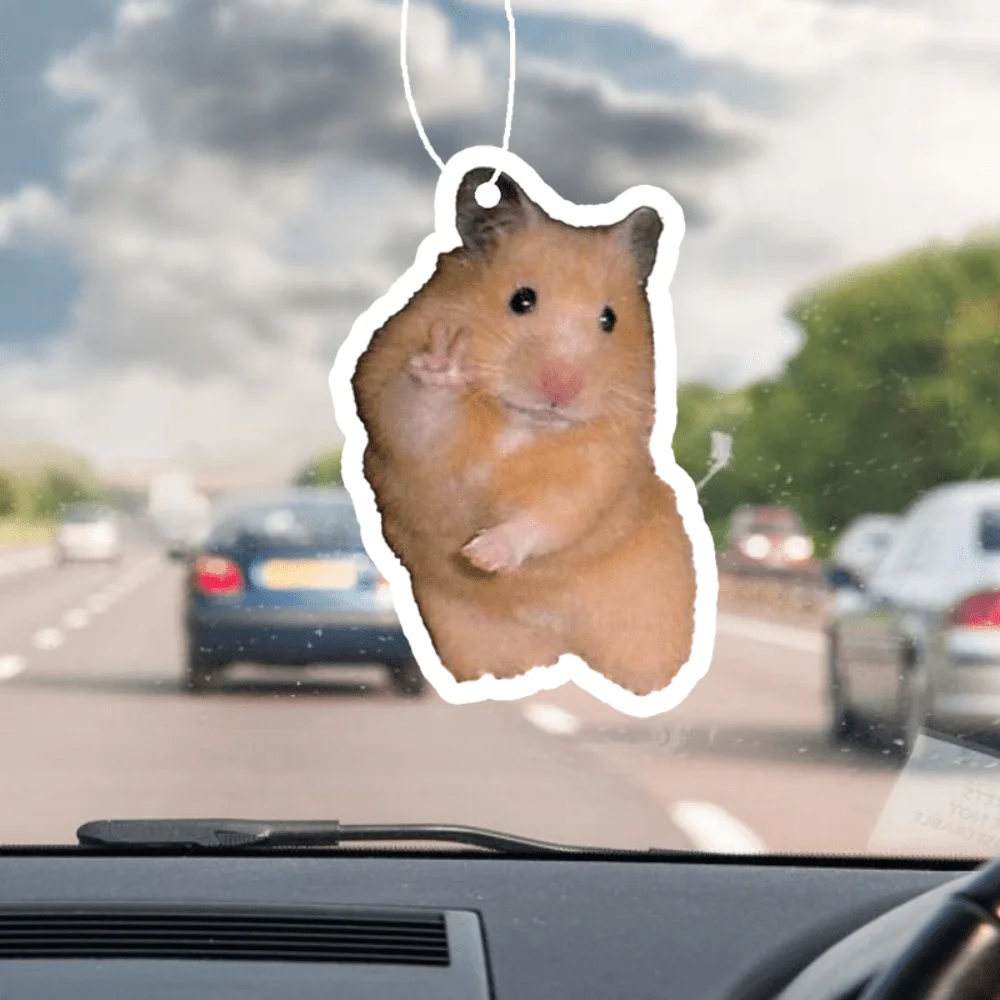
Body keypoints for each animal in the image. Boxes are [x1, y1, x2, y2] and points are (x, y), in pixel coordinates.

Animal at [352, 167, 696, 696]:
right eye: (521, 300)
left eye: (609, 319)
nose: (562, 389)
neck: (521, 423)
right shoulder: (397, 416)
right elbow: (421, 412)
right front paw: (446, 361)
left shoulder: (598, 467)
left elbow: (548, 516)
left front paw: (482, 556)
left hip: (654, 630)